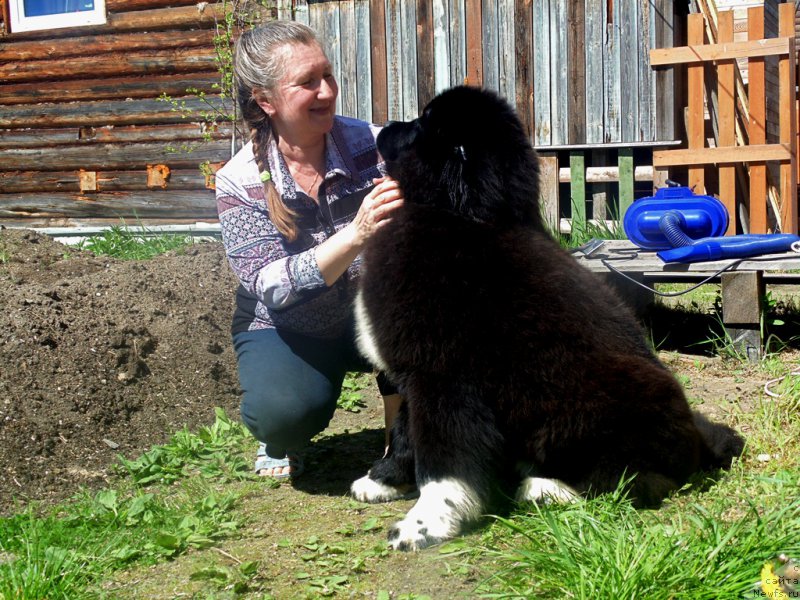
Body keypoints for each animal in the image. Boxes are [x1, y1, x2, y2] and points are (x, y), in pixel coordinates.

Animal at [354, 86, 740, 552]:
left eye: (423, 123)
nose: (385, 126)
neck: (455, 217)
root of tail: (697, 446)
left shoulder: (444, 382)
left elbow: (442, 465)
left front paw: (424, 525)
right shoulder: (415, 378)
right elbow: (404, 435)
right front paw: (383, 481)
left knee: (631, 480)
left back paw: (544, 488)